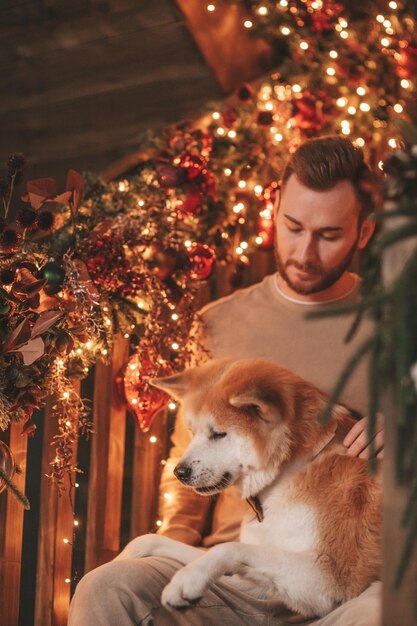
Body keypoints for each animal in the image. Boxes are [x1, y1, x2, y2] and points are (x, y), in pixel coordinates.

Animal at [117, 358, 380, 616]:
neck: (292, 469)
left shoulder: (325, 579)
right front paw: (120, 557)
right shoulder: (260, 581)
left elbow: (227, 549)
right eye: (191, 431)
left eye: (218, 434)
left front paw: (187, 580)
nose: (179, 473)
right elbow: (150, 540)